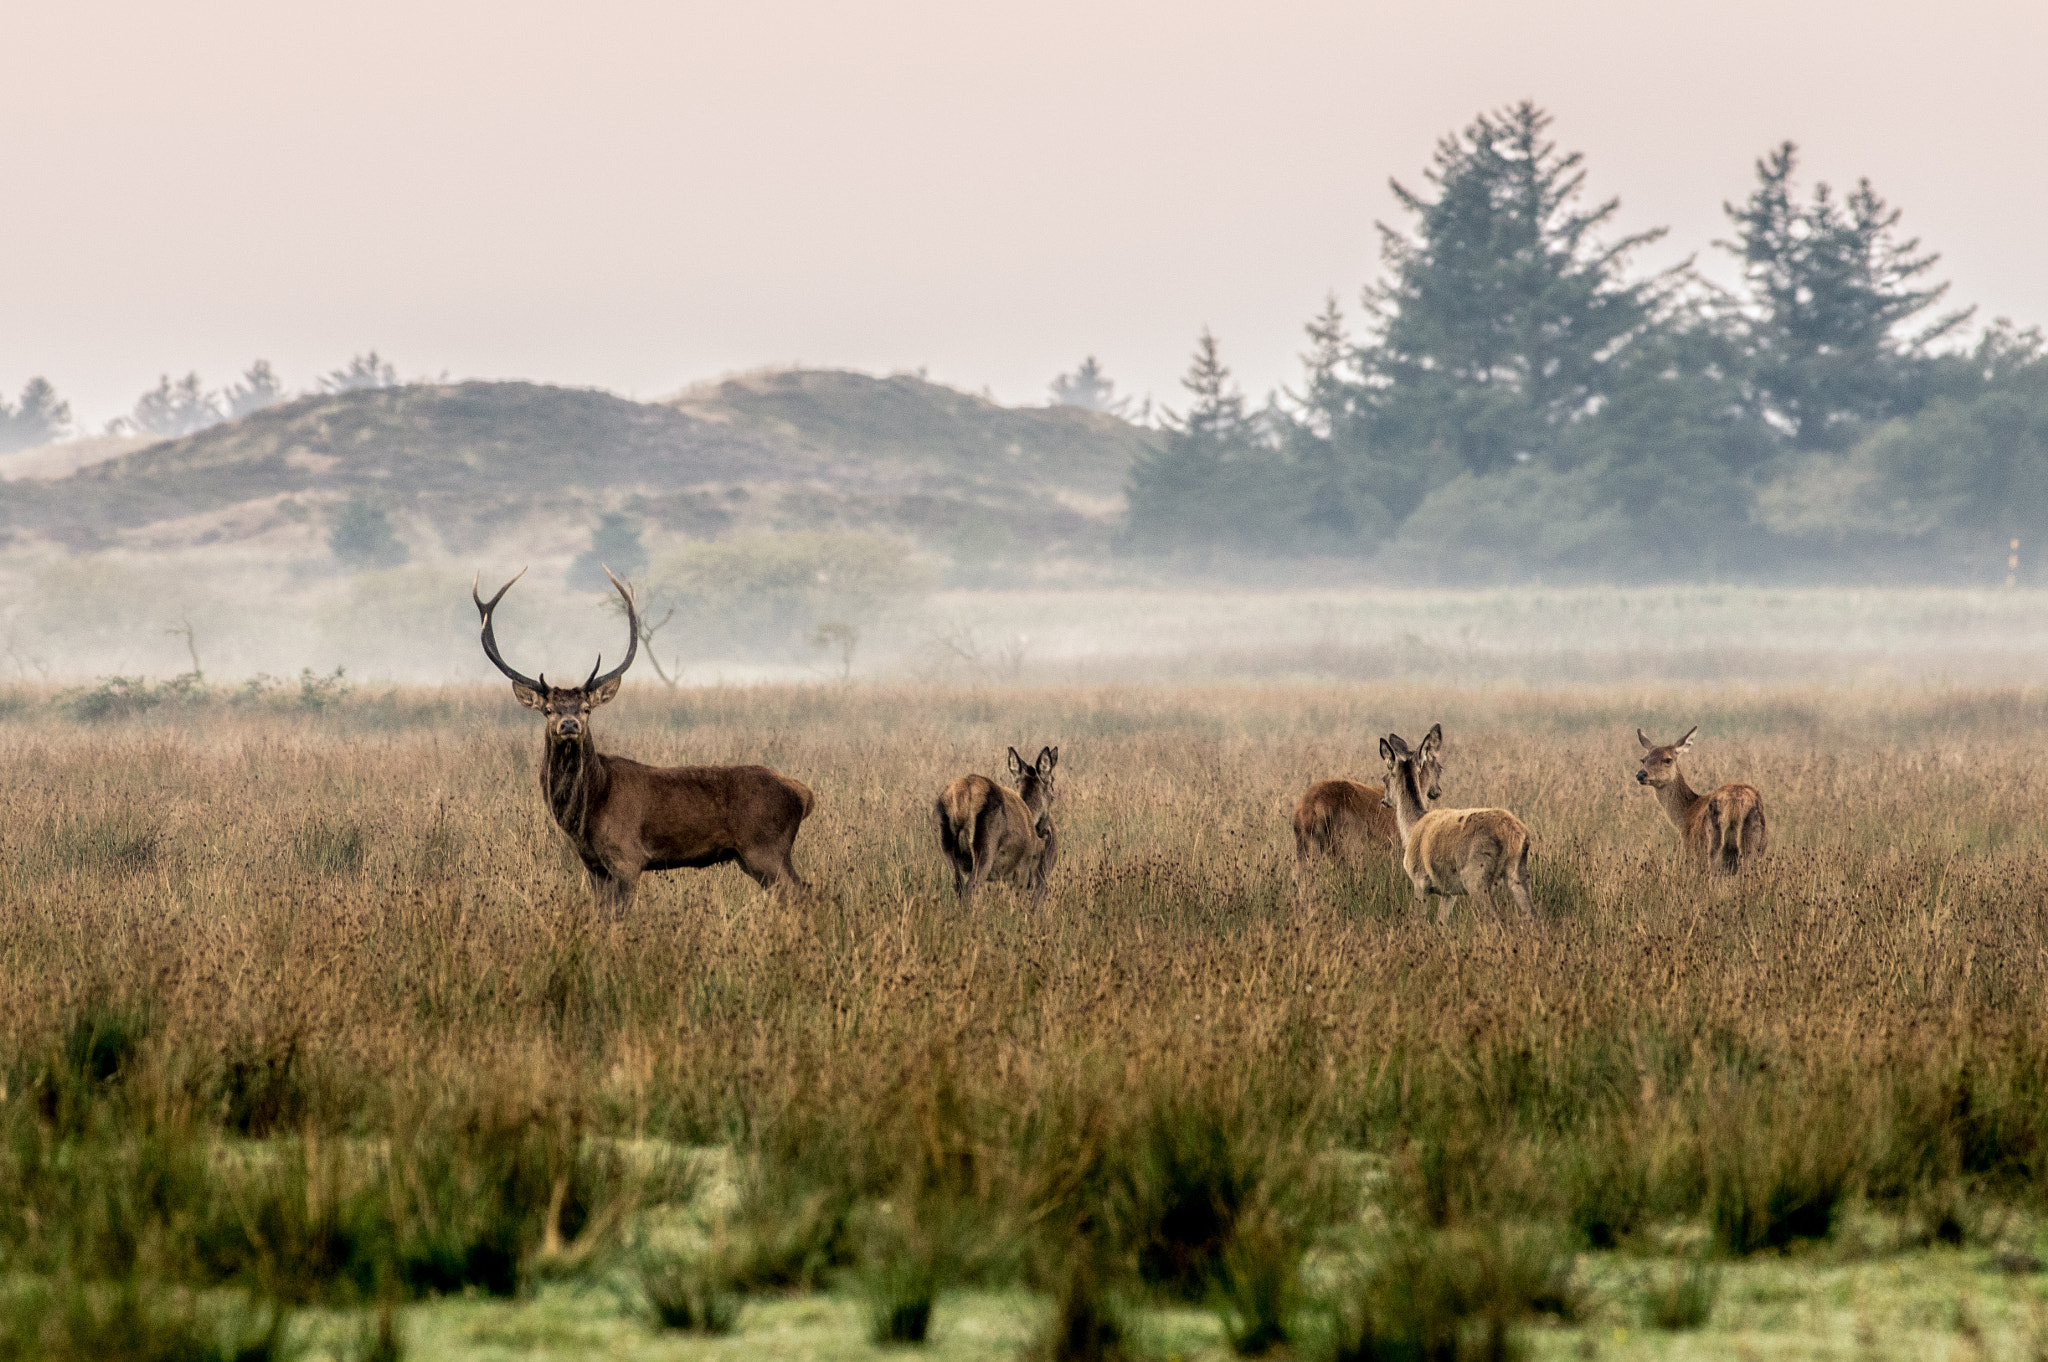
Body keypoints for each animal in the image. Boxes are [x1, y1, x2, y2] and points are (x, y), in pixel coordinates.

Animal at [468, 561, 811, 913]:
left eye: (587, 708)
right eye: (548, 709)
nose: (569, 724)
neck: (587, 813)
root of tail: (805, 795)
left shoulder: (627, 857)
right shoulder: (593, 865)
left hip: (765, 849)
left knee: (803, 892)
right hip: (754, 855)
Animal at [933, 745, 1056, 901]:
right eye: (1052, 783)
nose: (1045, 831)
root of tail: (962, 798)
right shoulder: (1023, 868)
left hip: (945, 846)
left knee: (958, 886)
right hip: (986, 849)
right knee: (971, 888)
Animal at [1376, 729, 1540, 917]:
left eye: (1384, 778)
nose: (1384, 800)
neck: (1411, 829)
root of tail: (1517, 835)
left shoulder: (1420, 881)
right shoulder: (1449, 892)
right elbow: (1441, 921)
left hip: (1477, 877)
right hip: (1520, 874)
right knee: (1533, 914)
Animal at [1638, 720, 1769, 872]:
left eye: (1667, 759)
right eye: (1643, 759)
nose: (1641, 774)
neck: (1685, 815)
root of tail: (1737, 806)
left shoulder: (1691, 850)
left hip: (1713, 847)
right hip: (1756, 847)